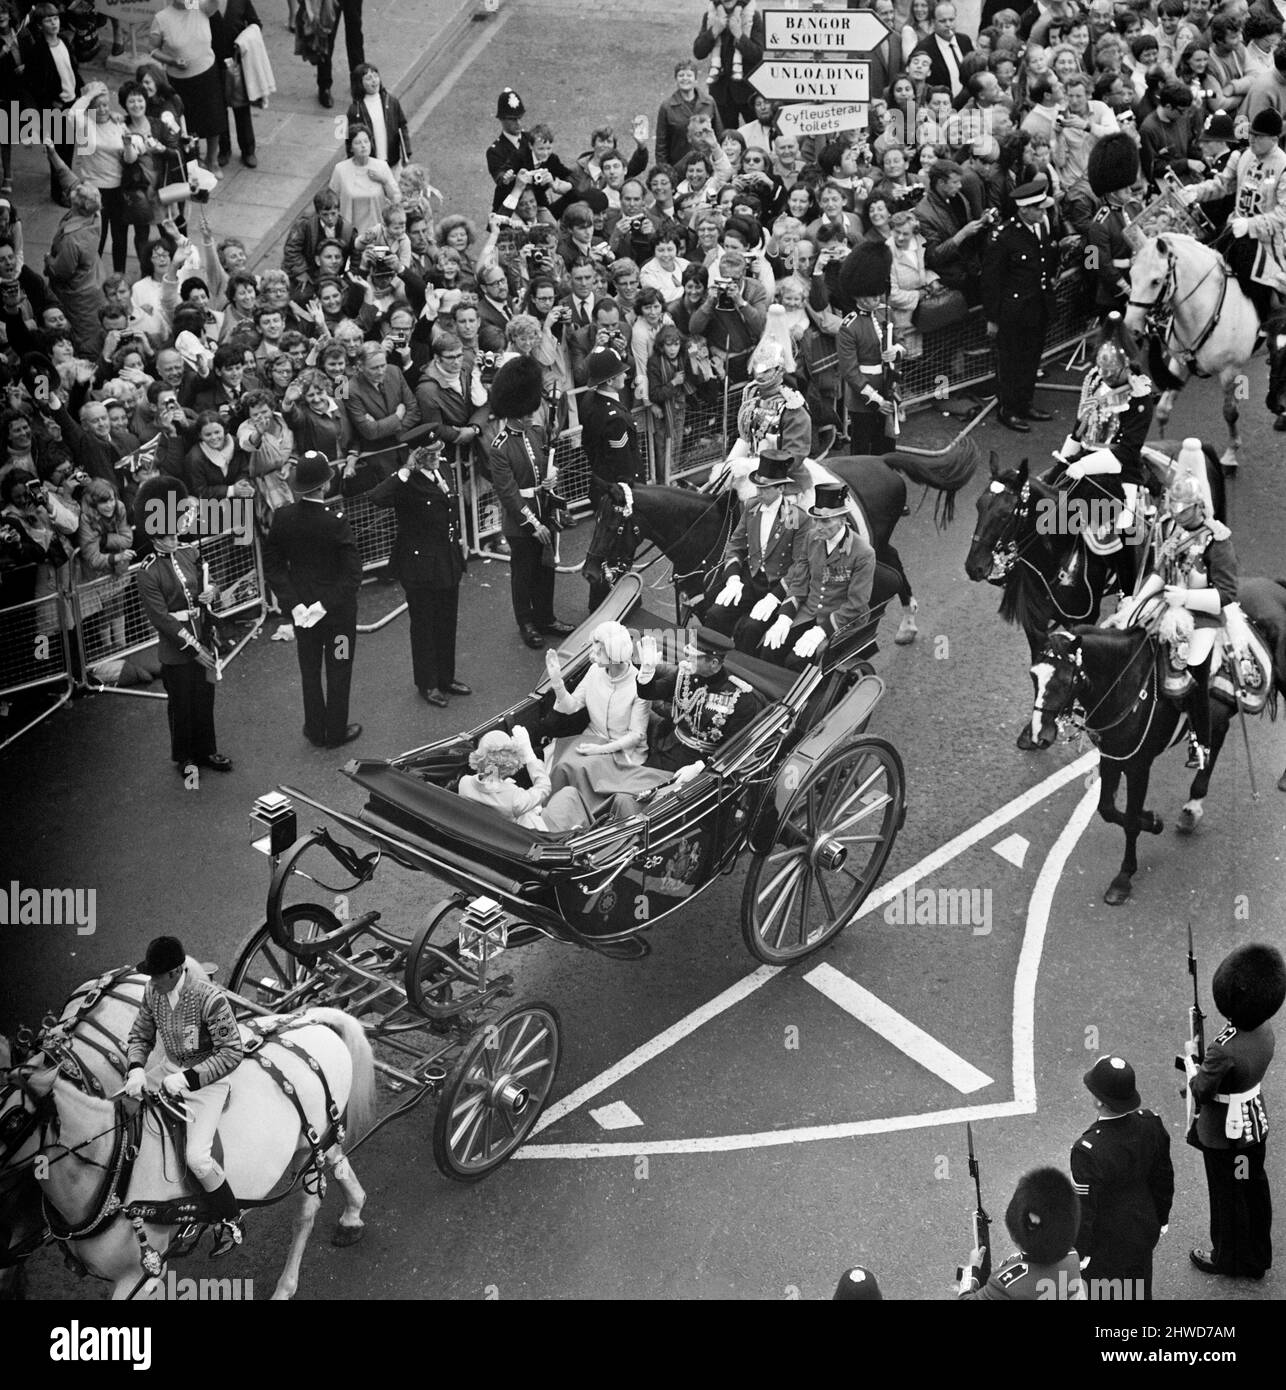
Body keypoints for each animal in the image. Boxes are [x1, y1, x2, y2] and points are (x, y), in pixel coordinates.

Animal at [10, 1006, 372, 1295]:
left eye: (14, 1119)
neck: (117, 1166)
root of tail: (311, 1019)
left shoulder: (141, 1276)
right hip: (313, 1143)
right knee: (337, 1160)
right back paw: (352, 1213)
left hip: (311, 1147)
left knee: (305, 1215)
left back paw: (286, 1285)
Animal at [583, 444, 984, 639]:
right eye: (595, 520)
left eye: (614, 526)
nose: (589, 573)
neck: (705, 536)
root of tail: (882, 459)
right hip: (880, 543)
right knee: (895, 563)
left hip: (876, 542)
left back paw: (907, 623)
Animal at [962, 444, 1223, 750]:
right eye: (979, 505)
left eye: (1005, 514)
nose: (974, 567)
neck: (1059, 552)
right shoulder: (1035, 618)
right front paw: (1034, 728)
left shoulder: (1080, 619)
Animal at [1034, 581, 1284, 906]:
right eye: (1033, 676)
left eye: (1066, 679)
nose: (1040, 735)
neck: (1126, 681)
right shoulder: (1112, 756)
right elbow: (1108, 809)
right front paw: (1152, 820)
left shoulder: (1139, 764)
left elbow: (1128, 820)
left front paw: (1124, 877)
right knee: (1214, 741)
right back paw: (1192, 807)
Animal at [1123, 236, 1256, 475]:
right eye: (1131, 276)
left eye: (1155, 281)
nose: (1130, 330)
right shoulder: (1179, 364)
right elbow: (1163, 410)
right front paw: (1162, 451)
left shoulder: (1229, 371)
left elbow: (1230, 413)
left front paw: (1231, 455)